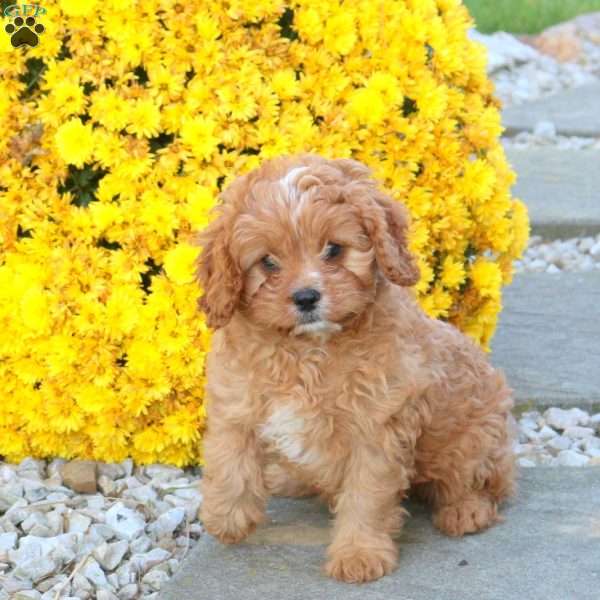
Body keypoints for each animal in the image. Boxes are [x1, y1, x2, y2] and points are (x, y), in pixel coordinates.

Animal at [197, 154, 516, 580]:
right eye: (267, 262)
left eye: (334, 250)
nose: (306, 297)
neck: (306, 351)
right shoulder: (237, 401)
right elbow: (229, 460)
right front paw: (226, 519)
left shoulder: (377, 428)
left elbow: (367, 496)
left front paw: (359, 555)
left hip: (470, 441)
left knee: (482, 481)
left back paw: (467, 510)